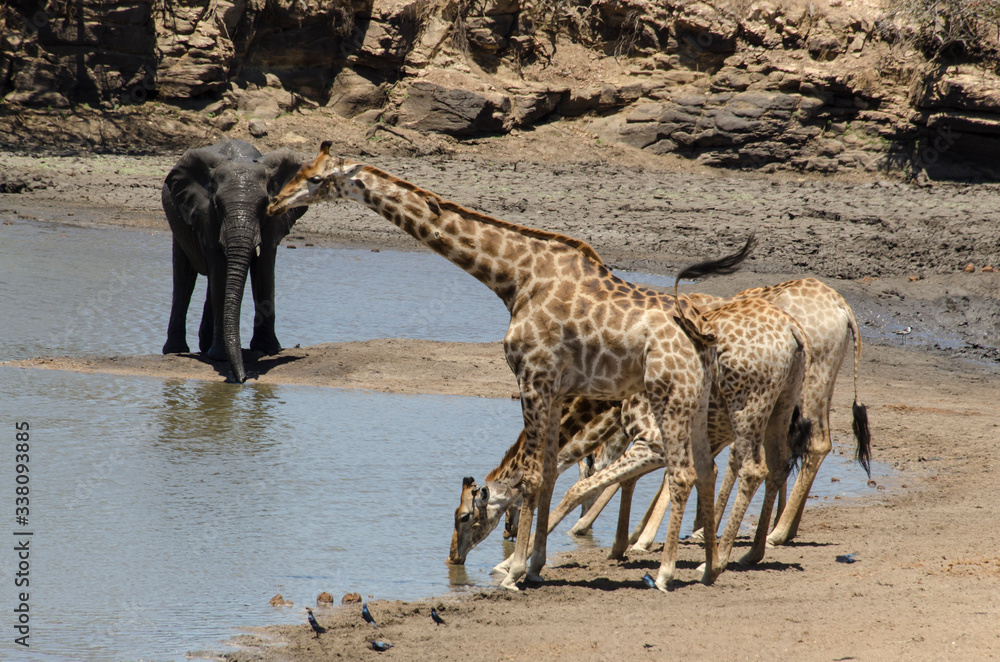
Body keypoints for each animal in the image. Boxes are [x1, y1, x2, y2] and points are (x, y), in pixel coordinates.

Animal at [268, 142, 754, 590]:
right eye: (301, 171)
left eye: (315, 179)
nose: (274, 203)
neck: (514, 279)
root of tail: (702, 333)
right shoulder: (556, 388)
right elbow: (548, 475)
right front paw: (534, 566)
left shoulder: (533, 377)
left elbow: (532, 477)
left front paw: (514, 570)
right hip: (697, 399)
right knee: (707, 470)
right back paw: (710, 568)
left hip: (670, 396)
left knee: (683, 472)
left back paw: (668, 571)